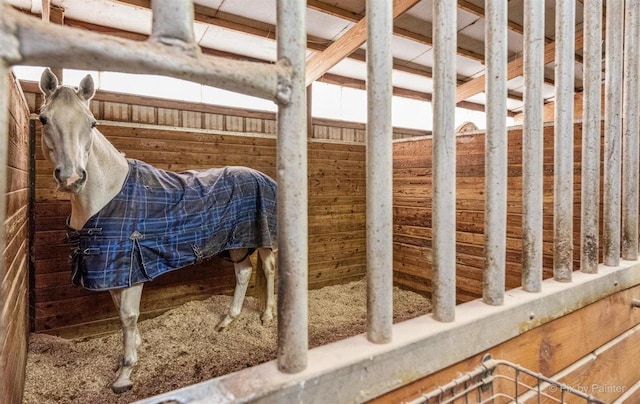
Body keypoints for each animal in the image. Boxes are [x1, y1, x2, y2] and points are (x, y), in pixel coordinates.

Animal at [38, 68, 278, 392]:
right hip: (237, 241)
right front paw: (136, 348)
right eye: (44, 119)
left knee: (267, 269)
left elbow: (127, 315)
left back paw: (266, 316)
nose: (72, 178)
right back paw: (228, 321)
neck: (108, 193)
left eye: (92, 122)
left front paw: (125, 373)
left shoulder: (129, 264)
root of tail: (263, 176)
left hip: (263, 237)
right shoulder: (112, 269)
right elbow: (120, 310)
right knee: (243, 273)